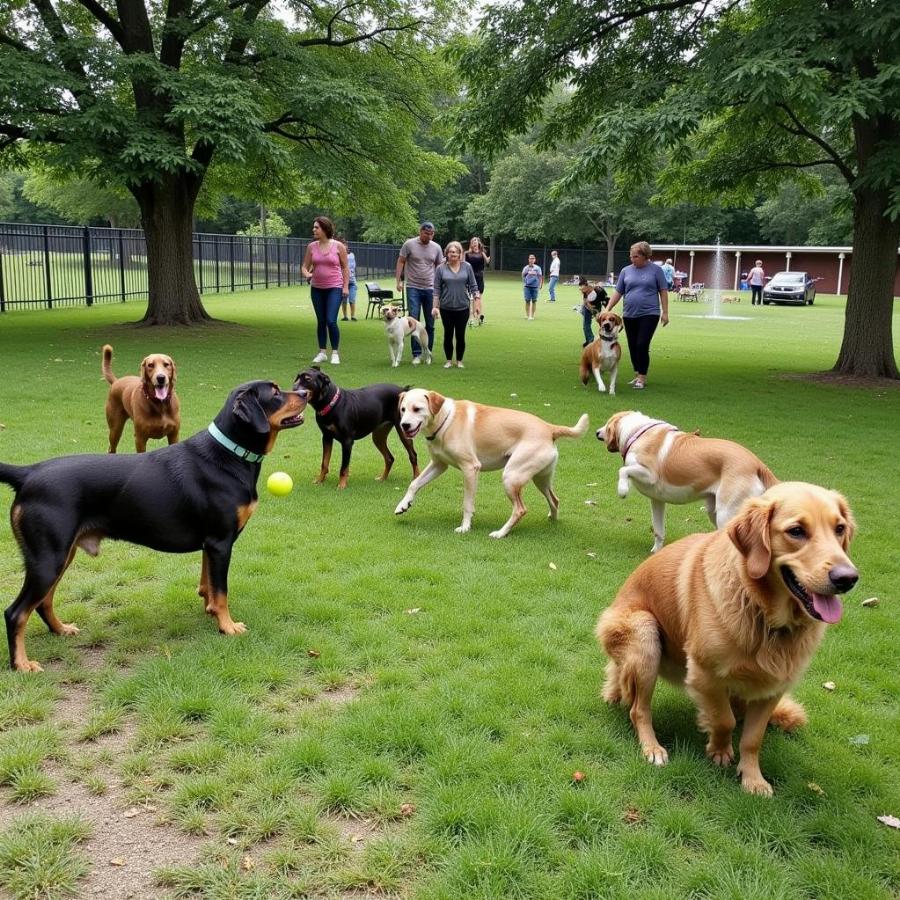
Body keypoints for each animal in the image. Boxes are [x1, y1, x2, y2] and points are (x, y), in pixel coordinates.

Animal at [0, 378, 306, 668]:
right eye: (275, 392)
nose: (305, 392)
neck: (228, 455)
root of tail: (28, 473)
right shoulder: (221, 543)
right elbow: (221, 592)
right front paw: (228, 627)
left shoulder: (209, 545)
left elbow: (207, 586)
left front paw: (211, 614)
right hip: (48, 559)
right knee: (16, 612)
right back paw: (22, 665)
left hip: (61, 555)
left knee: (43, 602)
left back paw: (60, 630)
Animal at [394, 386, 592, 536]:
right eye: (402, 410)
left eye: (417, 409)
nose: (404, 425)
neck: (446, 421)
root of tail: (549, 427)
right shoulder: (438, 465)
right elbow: (414, 483)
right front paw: (403, 504)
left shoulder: (470, 469)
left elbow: (467, 503)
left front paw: (465, 527)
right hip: (540, 479)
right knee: (555, 500)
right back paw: (553, 519)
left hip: (511, 476)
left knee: (520, 509)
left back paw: (501, 533)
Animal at [596, 412, 780, 552]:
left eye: (607, 425)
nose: (597, 432)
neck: (638, 433)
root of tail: (758, 464)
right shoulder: (657, 500)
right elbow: (658, 530)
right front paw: (656, 551)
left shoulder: (649, 473)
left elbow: (623, 470)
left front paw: (622, 490)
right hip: (714, 511)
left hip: (726, 513)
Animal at [596, 486, 856, 796]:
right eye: (796, 531)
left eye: (839, 528)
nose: (848, 578)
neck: (762, 614)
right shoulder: (704, 674)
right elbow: (723, 719)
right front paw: (719, 751)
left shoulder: (773, 688)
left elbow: (752, 738)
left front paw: (753, 778)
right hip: (644, 634)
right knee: (638, 710)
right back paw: (653, 748)